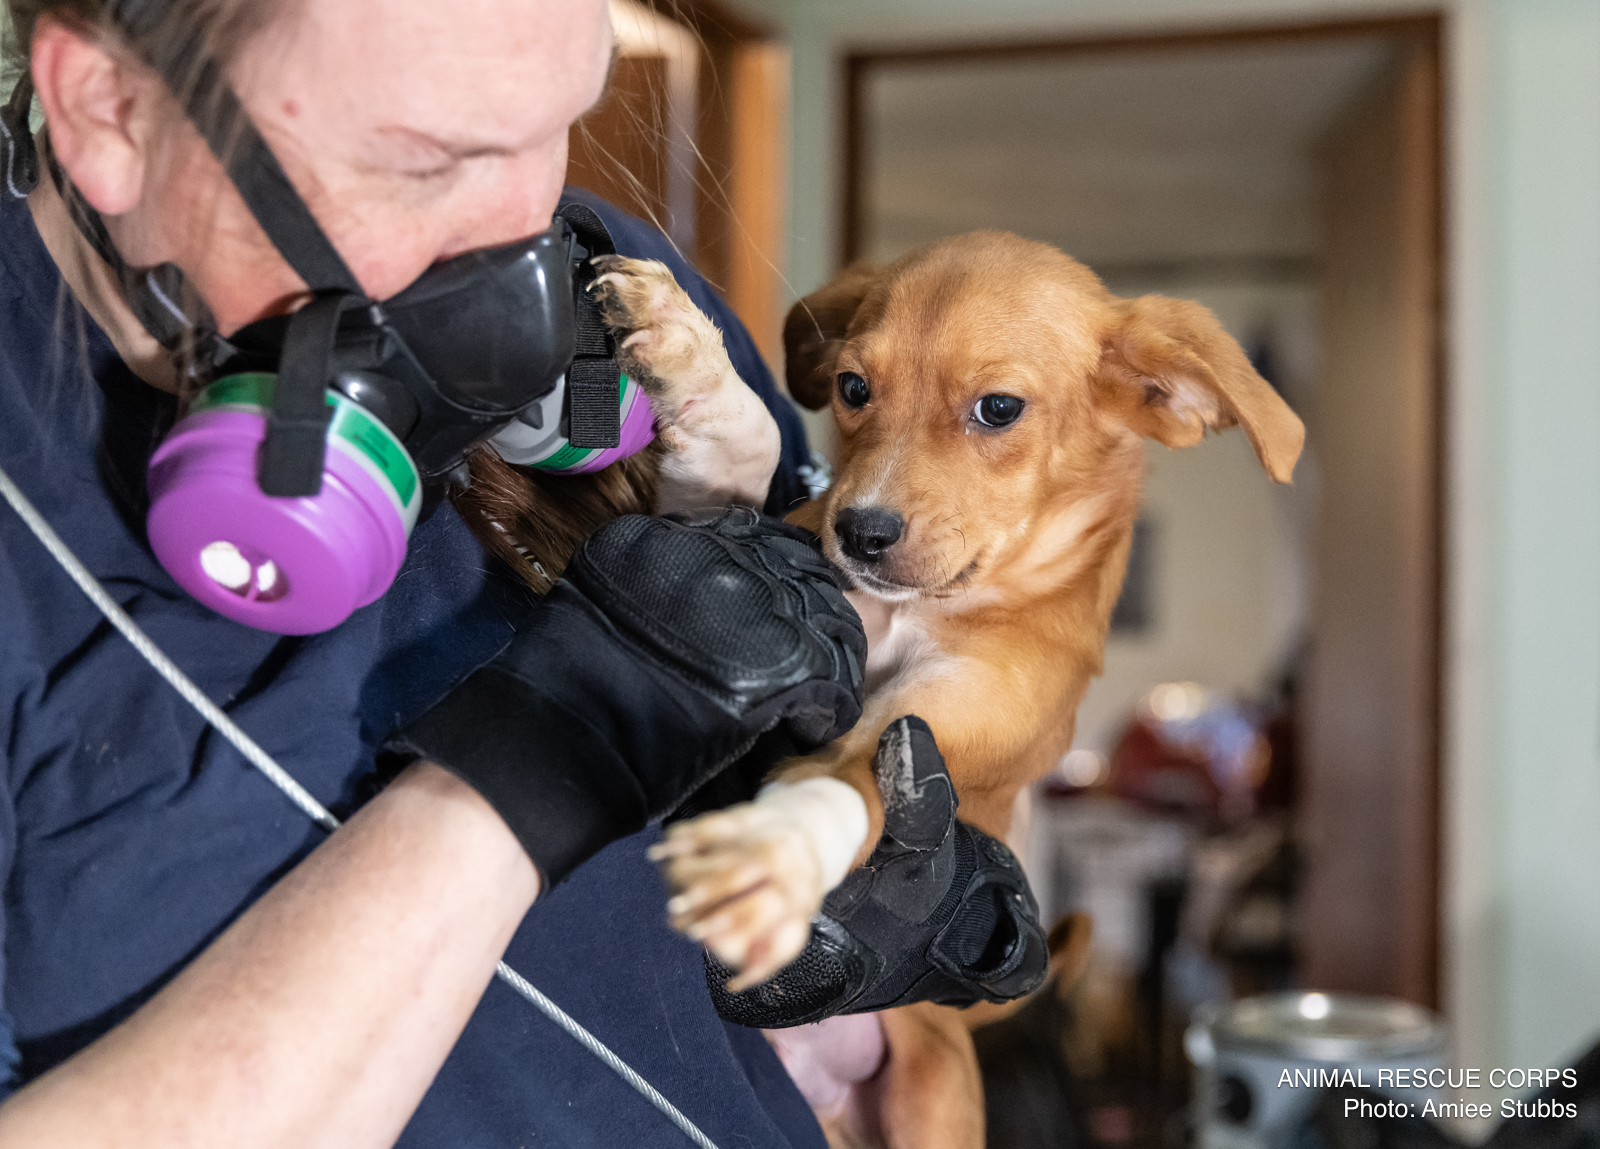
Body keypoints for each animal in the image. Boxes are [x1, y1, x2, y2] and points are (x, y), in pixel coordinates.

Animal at [649, 232, 1299, 992]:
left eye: (998, 408)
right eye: (853, 388)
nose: (860, 533)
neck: (919, 609)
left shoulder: (940, 720)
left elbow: (839, 778)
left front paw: (773, 854)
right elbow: (712, 490)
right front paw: (683, 348)